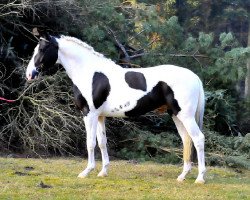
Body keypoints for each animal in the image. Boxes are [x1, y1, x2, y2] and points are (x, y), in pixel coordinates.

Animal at [25, 32, 206, 184]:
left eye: (42, 49)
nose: (29, 74)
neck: (89, 73)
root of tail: (195, 77)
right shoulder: (100, 116)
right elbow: (102, 142)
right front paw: (103, 172)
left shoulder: (89, 114)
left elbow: (90, 143)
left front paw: (86, 171)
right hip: (176, 115)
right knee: (186, 140)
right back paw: (182, 176)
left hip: (186, 116)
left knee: (198, 139)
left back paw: (200, 178)